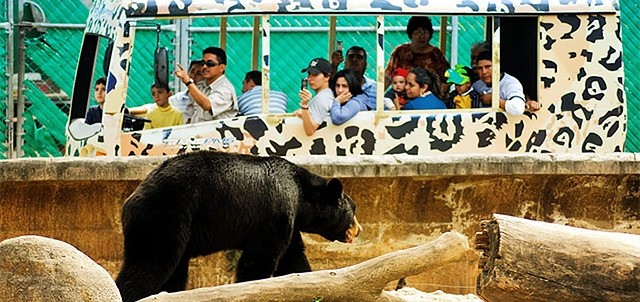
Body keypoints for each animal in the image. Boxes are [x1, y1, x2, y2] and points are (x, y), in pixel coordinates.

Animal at [114, 151, 360, 302]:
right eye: (353, 209)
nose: (359, 230)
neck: (300, 196)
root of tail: (130, 200)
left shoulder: (287, 221)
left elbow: (293, 257)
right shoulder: (276, 211)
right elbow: (259, 260)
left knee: (174, 271)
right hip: (165, 215)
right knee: (151, 264)